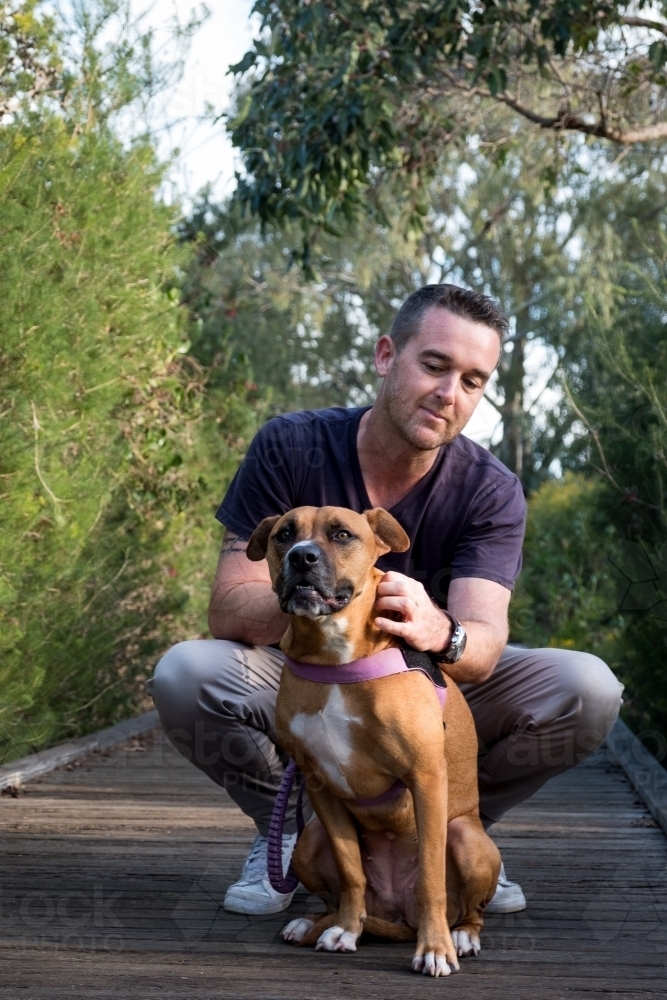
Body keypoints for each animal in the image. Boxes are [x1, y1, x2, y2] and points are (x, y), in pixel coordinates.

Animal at [248, 504, 498, 972]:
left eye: (342, 534)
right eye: (283, 534)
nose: (301, 556)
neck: (334, 658)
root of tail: (397, 915)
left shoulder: (425, 776)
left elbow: (430, 879)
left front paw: (435, 949)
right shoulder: (319, 783)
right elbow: (352, 874)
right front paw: (345, 929)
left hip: (469, 839)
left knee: (468, 909)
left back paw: (460, 936)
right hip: (308, 841)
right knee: (345, 895)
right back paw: (319, 924)